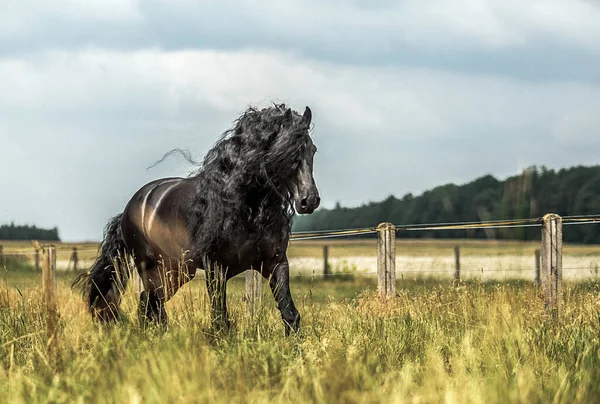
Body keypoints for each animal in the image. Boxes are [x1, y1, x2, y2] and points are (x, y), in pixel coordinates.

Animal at [74, 104, 318, 334]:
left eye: (312, 150)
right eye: (286, 152)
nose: (309, 200)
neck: (248, 208)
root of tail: (128, 210)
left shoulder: (275, 262)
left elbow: (290, 314)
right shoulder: (216, 268)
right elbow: (220, 319)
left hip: (177, 273)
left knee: (149, 304)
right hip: (154, 270)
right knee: (150, 304)